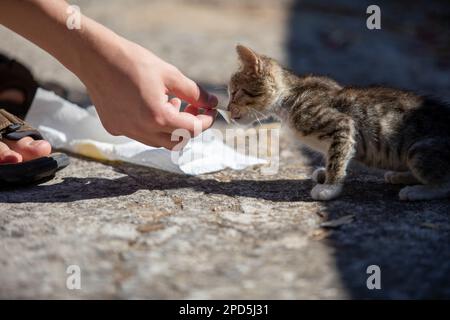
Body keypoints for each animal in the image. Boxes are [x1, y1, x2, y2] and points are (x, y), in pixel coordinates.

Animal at [229, 44, 450, 200]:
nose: (229, 109)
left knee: (445, 185)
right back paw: (400, 176)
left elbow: (337, 157)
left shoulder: (342, 123)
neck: (290, 96)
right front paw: (325, 174)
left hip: (419, 151)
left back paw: (416, 191)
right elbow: (337, 154)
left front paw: (329, 187)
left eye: (235, 92)